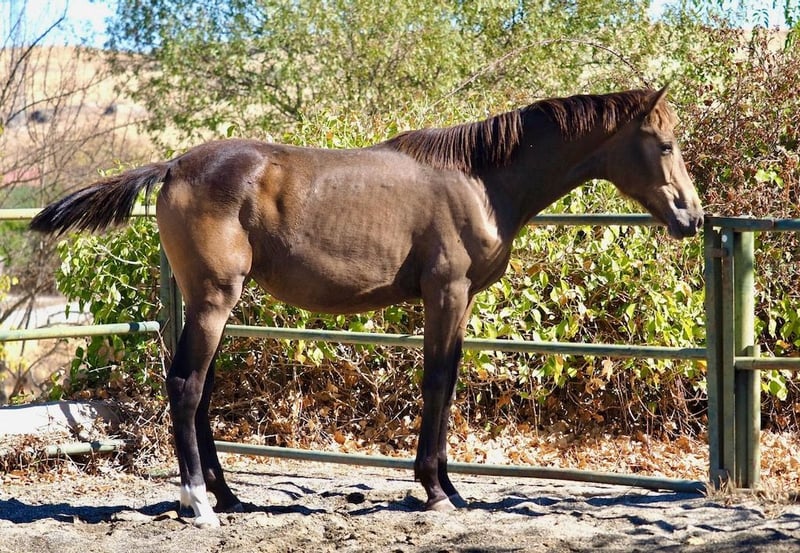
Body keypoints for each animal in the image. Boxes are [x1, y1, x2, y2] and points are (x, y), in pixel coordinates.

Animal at [30, 86, 703, 528]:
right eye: (665, 144)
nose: (692, 217)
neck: (480, 179)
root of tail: (173, 165)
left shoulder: (457, 301)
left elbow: (446, 382)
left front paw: (448, 487)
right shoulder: (445, 293)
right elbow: (437, 382)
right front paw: (434, 490)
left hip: (207, 303)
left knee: (202, 390)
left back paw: (228, 497)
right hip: (215, 301)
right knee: (186, 385)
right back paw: (198, 503)